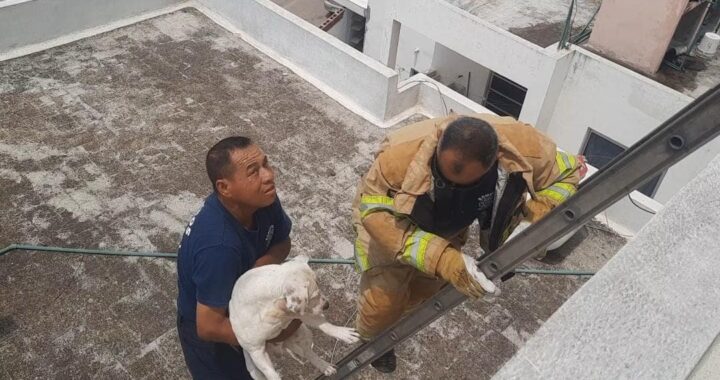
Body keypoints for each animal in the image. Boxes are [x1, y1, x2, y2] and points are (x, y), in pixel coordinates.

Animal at [229, 255, 358, 380]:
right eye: (314, 296)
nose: (327, 305)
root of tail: (284, 345)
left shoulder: (302, 313)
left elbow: (326, 326)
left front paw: (343, 333)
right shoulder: (257, 352)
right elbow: (271, 373)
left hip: (304, 333)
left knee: (308, 352)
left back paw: (324, 366)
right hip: (253, 368)